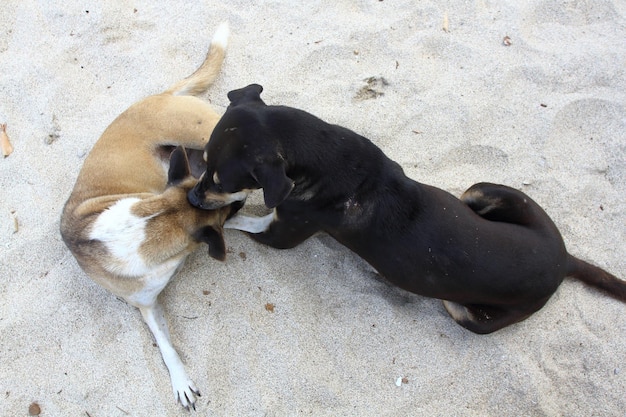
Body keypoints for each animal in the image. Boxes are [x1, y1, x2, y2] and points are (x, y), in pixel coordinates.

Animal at [59, 23, 232, 410]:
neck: (148, 222)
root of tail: (161, 94)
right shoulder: (147, 306)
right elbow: (166, 347)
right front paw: (180, 381)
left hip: (204, 132)